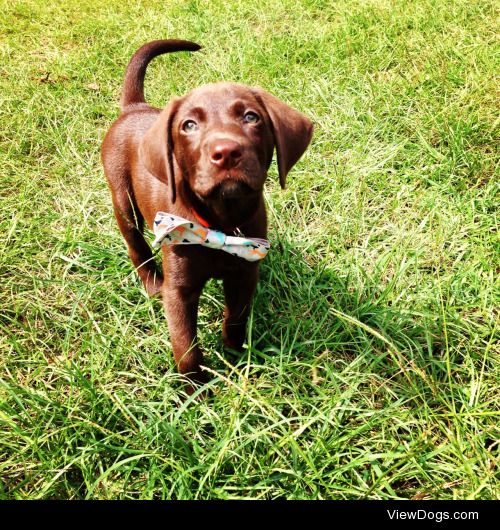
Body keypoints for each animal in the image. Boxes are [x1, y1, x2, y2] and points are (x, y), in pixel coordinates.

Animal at [101, 39, 312, 390]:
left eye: (251, 117)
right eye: (189, 125)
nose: (226, 152)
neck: (220, 224)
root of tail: (134, 107)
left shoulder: (244, 273)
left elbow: (236, 319)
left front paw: (236, 357)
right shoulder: (179, 289)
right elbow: (185, 345)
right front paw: (196, 391)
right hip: (123, 198)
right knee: (135, 245)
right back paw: (150, 284)